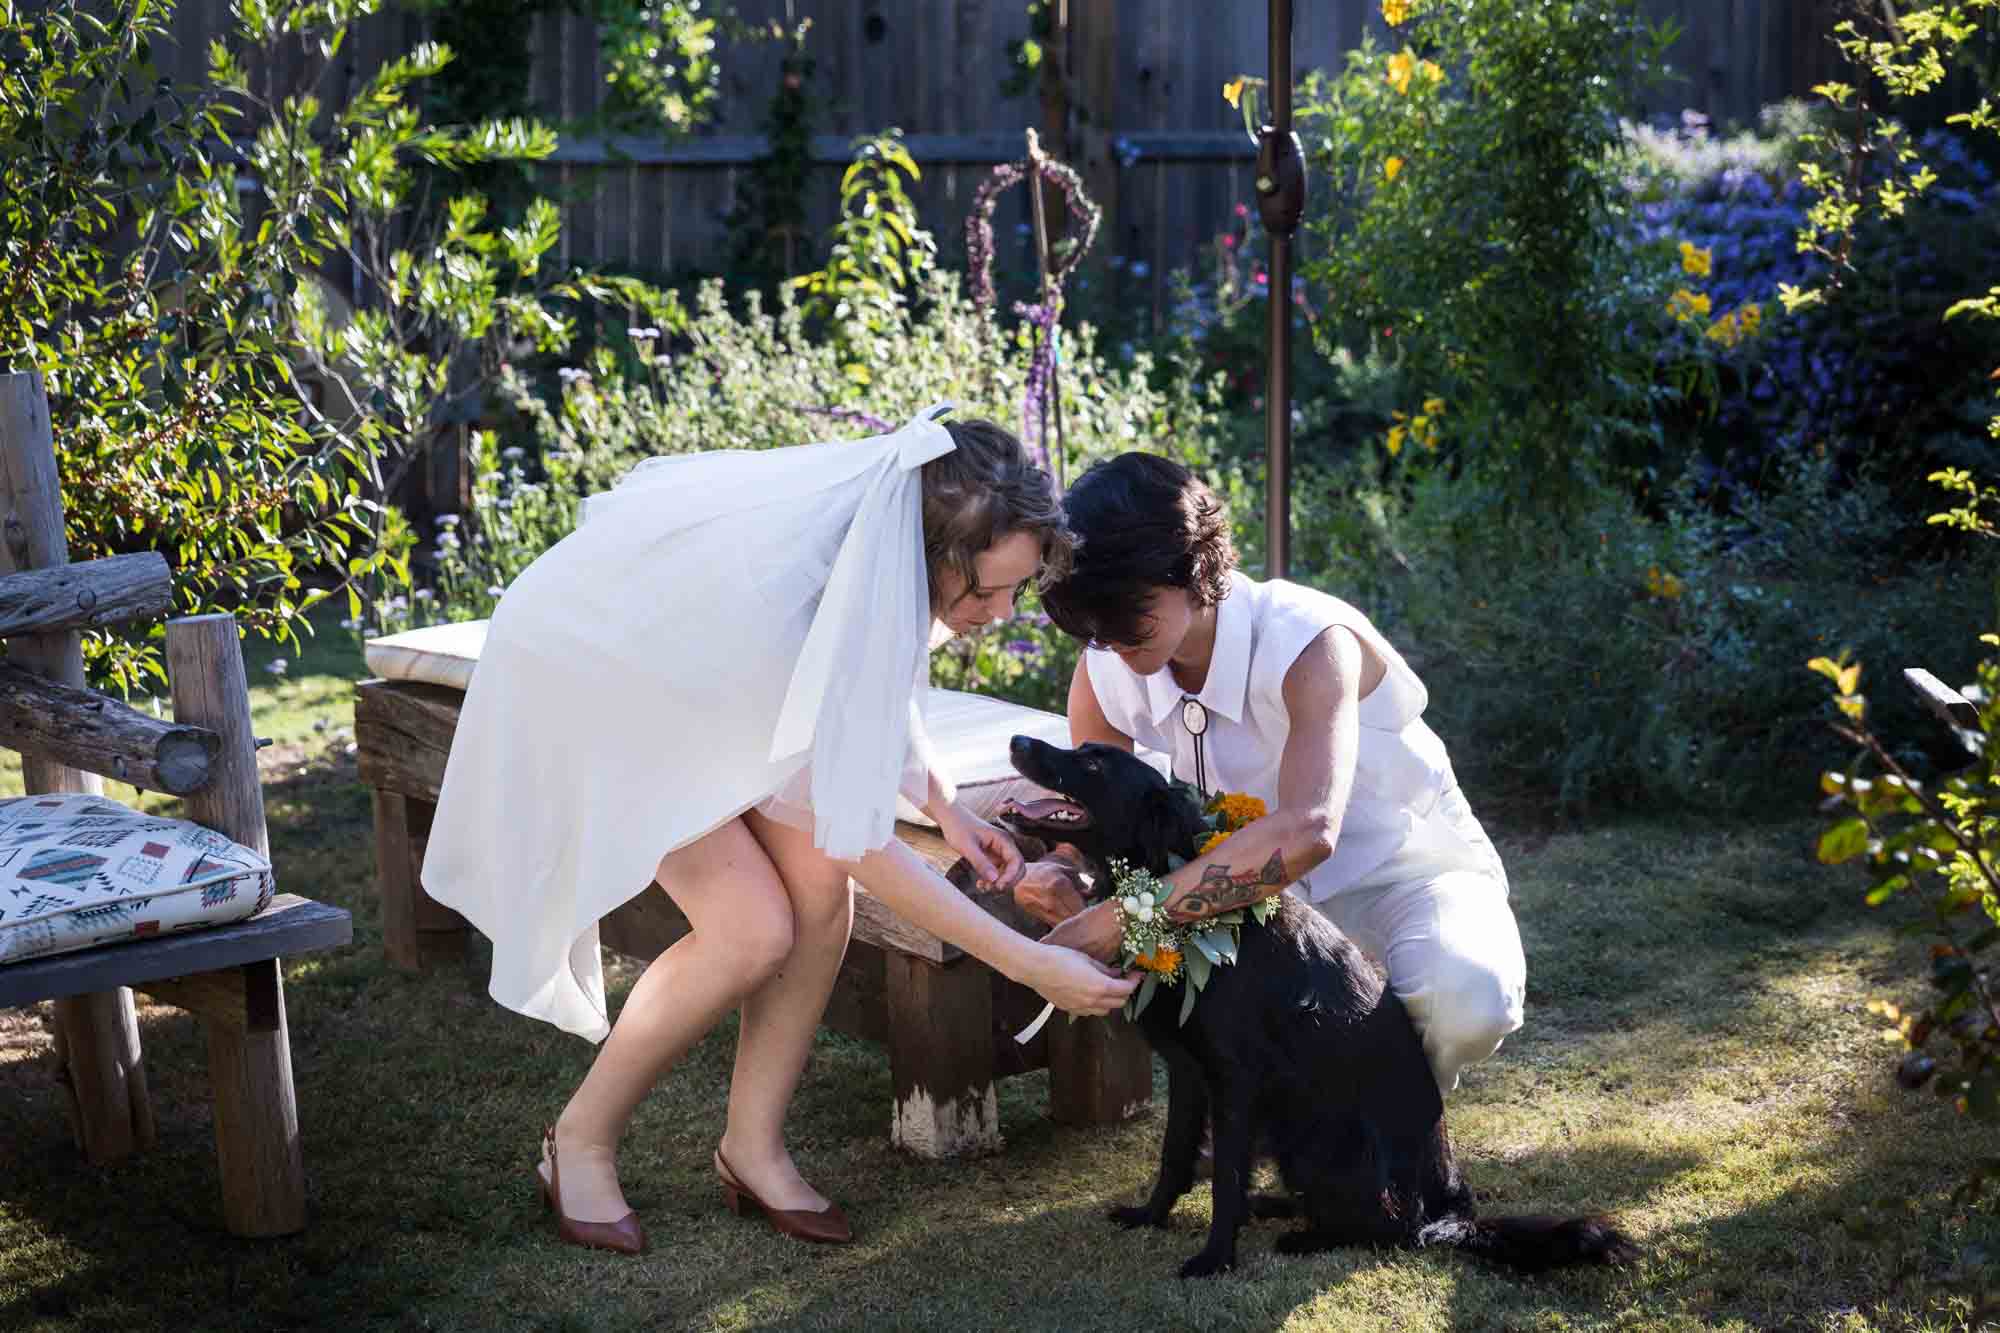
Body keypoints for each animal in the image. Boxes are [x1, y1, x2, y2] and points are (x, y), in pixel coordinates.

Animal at [1008, 732, 1632, 1272]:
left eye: (1093, 764)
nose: (1017, 742)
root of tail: (1450, 1213)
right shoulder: (1188, 1072)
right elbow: (1176, 1155)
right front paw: (1150, 1216)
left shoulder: (1236, 1080)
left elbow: (1226, 1177)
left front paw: (1215, 1259)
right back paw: (1277, 1209)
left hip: (1318, 1135)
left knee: (1391, 1229)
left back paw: (1303, 1236)